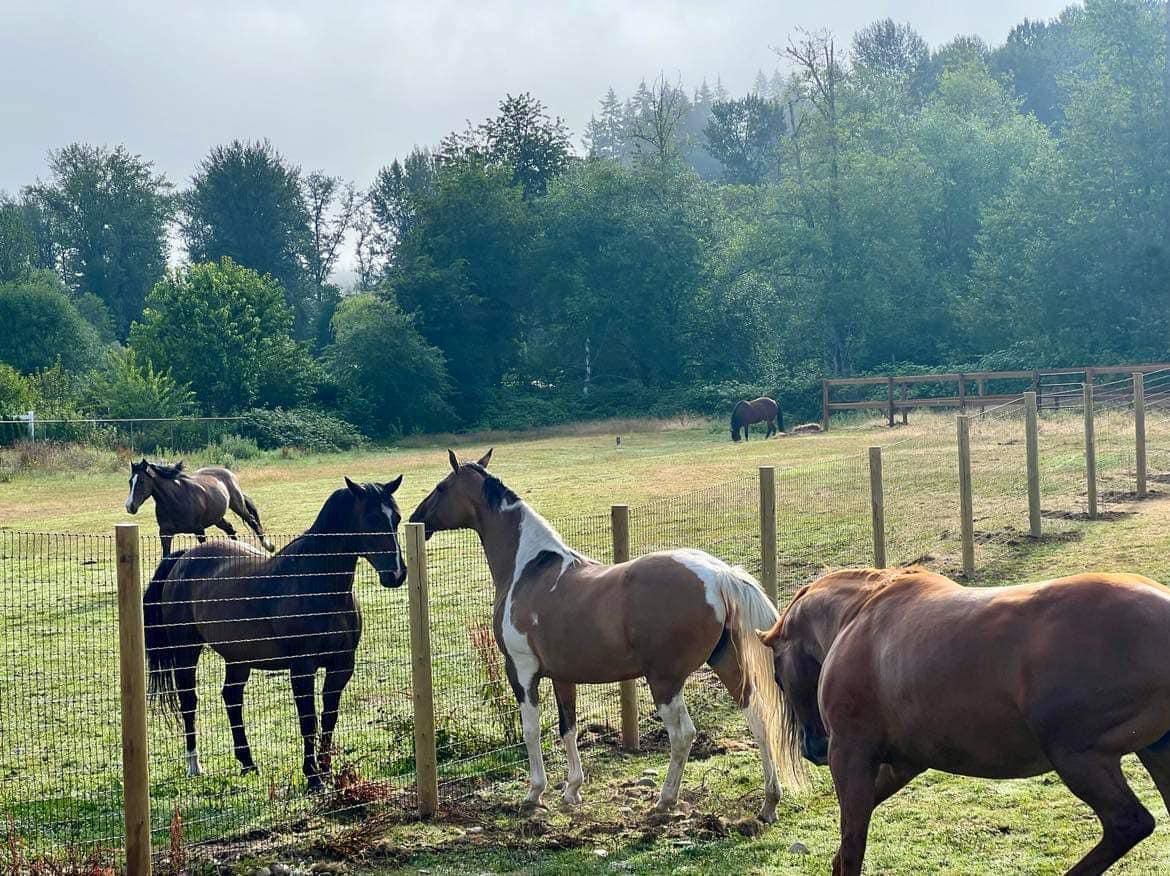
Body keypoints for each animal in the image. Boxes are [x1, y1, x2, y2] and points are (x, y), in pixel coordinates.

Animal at [125, 458, 273, 554]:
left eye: (141, 481)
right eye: (130, 481)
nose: (129, 506)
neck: (175, 501)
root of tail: (227, 473)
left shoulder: (199, 530)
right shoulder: (165, 534)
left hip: (237, 505)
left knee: (252, 521)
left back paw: (269, 546)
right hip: (217, 518)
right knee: (230, 529)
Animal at [142, 474, 407, 790]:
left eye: (396, 518)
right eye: (371, 519)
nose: (396, 574)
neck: (317, 584)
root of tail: (183, 559)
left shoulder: (341, 666)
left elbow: (329, 717)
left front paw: (328, 773)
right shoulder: (302, 668)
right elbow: (308, 719)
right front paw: (313, 778)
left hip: (238, 658)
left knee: (232, 698)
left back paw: (247, 762)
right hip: (186, 652)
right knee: (189, 701)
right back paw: (195, 765)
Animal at [407, 451, 800, 818]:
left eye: (441, 488)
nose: (416, 518)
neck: (530, 568)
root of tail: (718, 574)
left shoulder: (521, 671)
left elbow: (531, 730)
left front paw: (535, 793)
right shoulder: (562, 676)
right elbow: (568, 727)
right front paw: (572, 790)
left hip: (665, 680)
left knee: (683, 735)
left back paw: (665, 800)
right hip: (726, 663)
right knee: (758, 719)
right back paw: (769, 803)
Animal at [758, 563, 1170, 870]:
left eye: (777, 675)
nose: (814, 748)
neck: (859, 615)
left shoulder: (851, 756)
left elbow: (852, 841)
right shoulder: (903, 763)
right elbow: (849, 840)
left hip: (1078, 757)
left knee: (1128, 823)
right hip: (1152, 752)